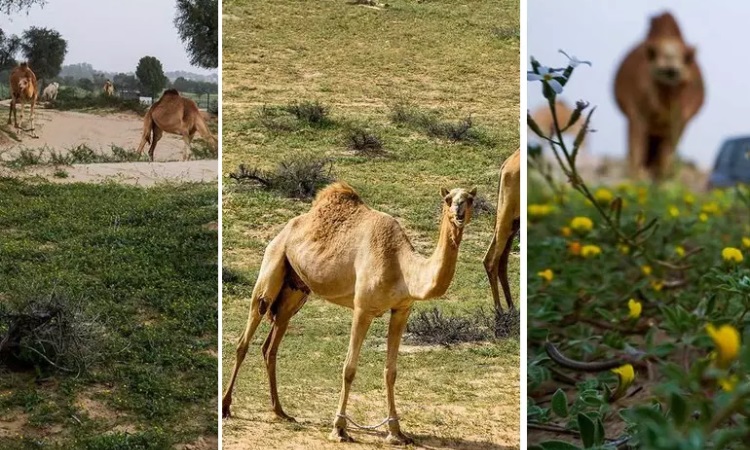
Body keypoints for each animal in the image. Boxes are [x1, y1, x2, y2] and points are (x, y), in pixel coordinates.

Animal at [225, 181, 482, 444]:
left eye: (471, 199)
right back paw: (226, 407)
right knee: (246, 334)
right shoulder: (362, 308)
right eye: (448, 199)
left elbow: (391, 371)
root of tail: (285, 229)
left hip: (295, 291)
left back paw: (280, 411)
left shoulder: (401, 310)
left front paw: (396, 432)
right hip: (272, 266)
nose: (459, 212)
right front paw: (339, 428)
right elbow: (349, 368)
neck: (402, 267)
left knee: (271, 345)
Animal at [616, 12, 704, 181]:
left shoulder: (681, 121)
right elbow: (636, 151)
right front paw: (637, 180)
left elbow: (665, 158)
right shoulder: (636, 113)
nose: (669, 60)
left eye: (685, 57)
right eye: (656, 54)